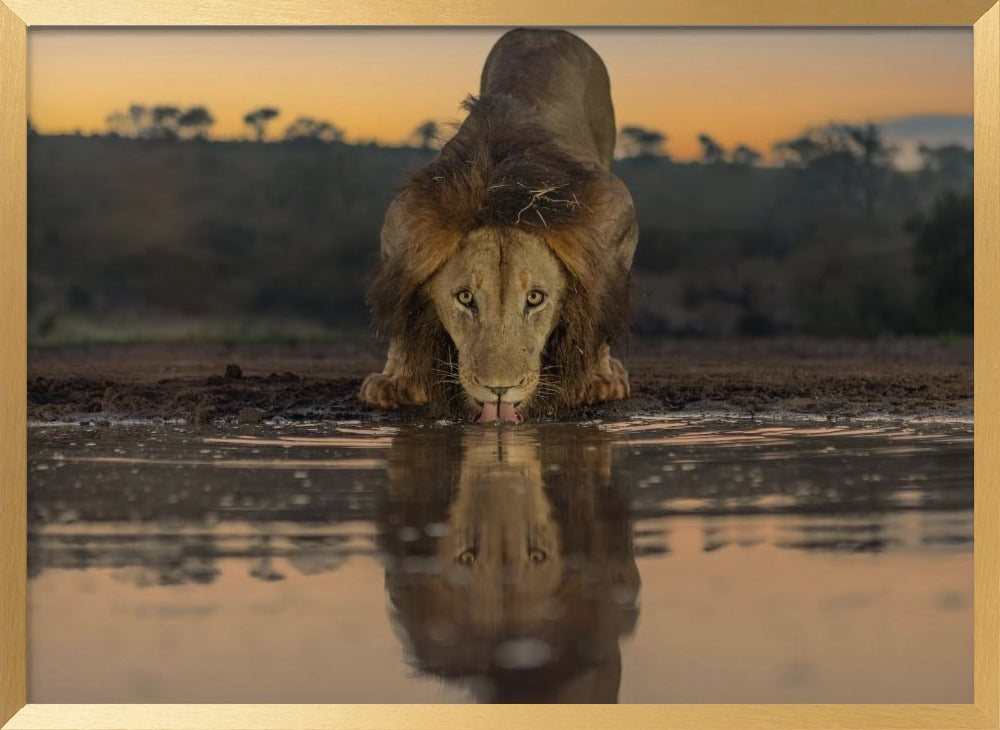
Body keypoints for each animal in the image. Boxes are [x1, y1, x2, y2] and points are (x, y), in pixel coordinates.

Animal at [364, 29, 636, 420]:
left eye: (535, 299)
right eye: (465, 298)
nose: (498, 390)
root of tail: (544, 30)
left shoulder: (616, 217)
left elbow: (602, 306)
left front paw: (596, 381)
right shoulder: (400, 227)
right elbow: (399, 307)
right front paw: (397, 382)